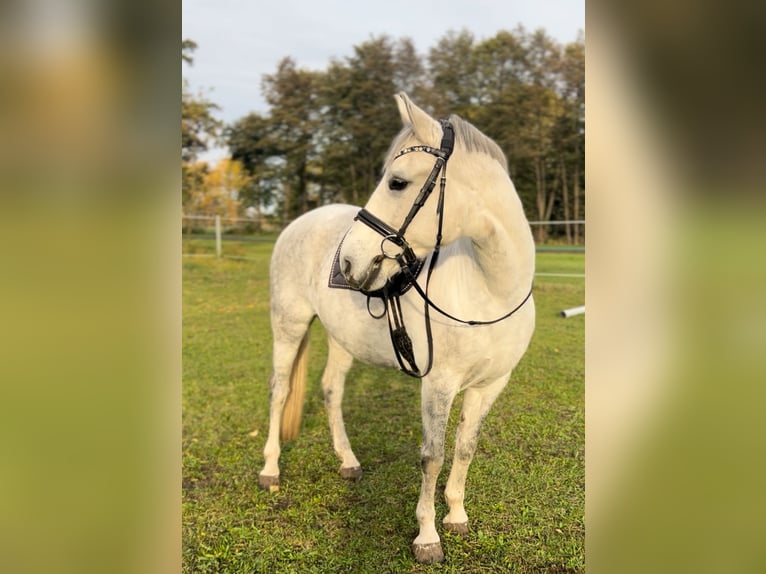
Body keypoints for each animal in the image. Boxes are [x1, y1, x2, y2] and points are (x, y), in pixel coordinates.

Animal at [257, 93, 536, 564]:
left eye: (398, 183)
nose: (349, 261)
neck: (490, 290)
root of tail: (302, 221)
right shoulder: (438, 383)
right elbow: (432, 456)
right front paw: (427, 537)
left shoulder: (491, 384)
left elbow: (465, 447)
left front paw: (456, 515)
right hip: (288, 324)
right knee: (279, 391)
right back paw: (270, 469)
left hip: (341, 339)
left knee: (331, 391)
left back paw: (348, 462)